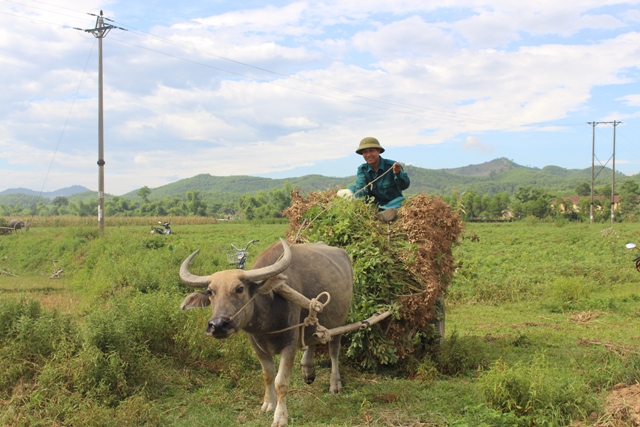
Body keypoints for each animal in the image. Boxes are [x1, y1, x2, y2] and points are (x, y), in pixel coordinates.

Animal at [179, 239, 356, 427]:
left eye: (240, 288)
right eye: (210, 292)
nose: (217, 325)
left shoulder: (289, 346)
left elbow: (281, 383)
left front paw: (280, 417)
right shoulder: (258, 347)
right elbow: (268, 376)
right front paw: (268, 403)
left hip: (340, 322)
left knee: (333, 351)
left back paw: (335, 384)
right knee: (312, 336)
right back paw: (307, 370)